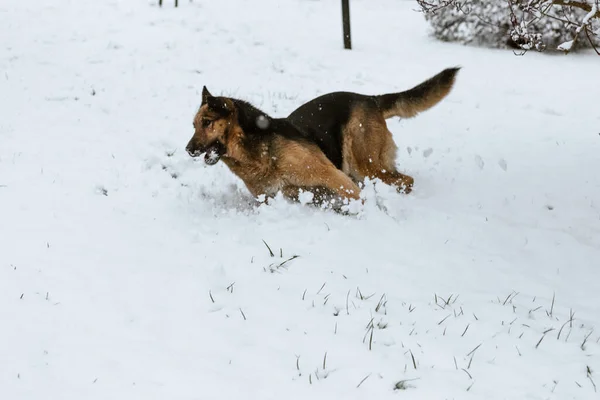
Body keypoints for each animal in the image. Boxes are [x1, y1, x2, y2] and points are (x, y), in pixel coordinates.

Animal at [185, 66, 458, 209]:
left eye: (207, 123)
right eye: (194, 125)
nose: (188, 149)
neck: (257, 152)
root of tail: (371, 99)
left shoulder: (333, 177)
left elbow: (355, 198)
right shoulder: (283, 196)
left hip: (364, 165)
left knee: (406, 180)